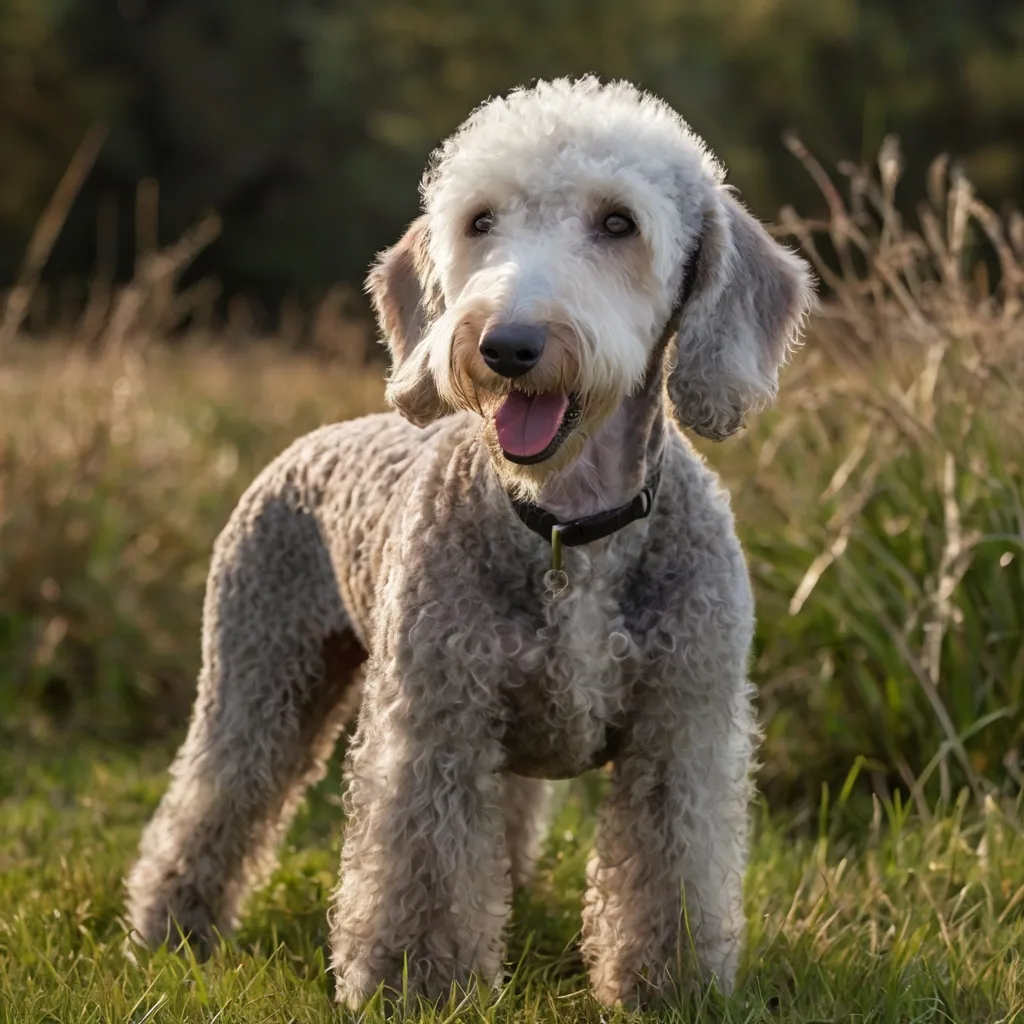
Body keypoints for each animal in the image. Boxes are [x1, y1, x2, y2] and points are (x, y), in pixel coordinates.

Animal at [123, 77, 811, 1007]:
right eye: (481, 220)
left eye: (619, 223)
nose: (506, 345)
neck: (565, 530)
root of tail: (315, 438)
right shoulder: (435, 726)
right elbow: (424, 875)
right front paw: (419, 987)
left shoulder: (682, 726)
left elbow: (671, 873)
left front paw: (669, 988)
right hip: (260, 679)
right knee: (209, 805)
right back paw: (170, 930)